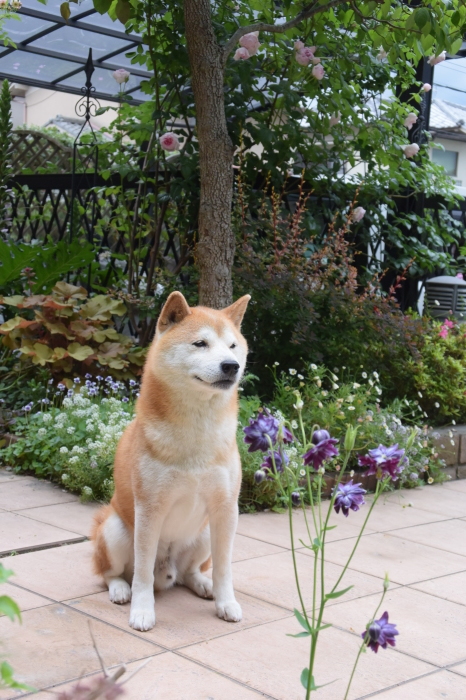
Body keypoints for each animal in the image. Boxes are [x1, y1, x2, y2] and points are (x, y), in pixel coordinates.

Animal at [92, 292, 251, 632]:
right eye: (200, 343)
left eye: (232, 346)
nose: (231, 366)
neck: (197, 432)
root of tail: (167, 572)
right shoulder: (149, 508)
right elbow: (141, 573)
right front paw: (142, 611)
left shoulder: (226, 509)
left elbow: (224, 568)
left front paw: (226, 602)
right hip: (115, 530)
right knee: (110, 572)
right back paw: (120, 589)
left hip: (203, 534)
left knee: (189, 573)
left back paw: (203, 584)